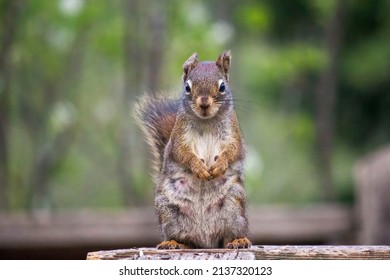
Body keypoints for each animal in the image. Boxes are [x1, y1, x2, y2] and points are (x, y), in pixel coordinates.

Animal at [134, 50, 251, 249]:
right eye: (187, 87)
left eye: (222, 86)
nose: (204, 103)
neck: (206, 121)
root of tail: (206, 241)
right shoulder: (178, 139)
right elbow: (183, 153)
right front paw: (198, 167)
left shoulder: (234, 136)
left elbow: (232, 150)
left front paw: (220, 164)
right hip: (169, 212)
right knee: (187, 240)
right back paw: (174, 243)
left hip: (234, 207)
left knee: (227, 236)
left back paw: (238, 240)